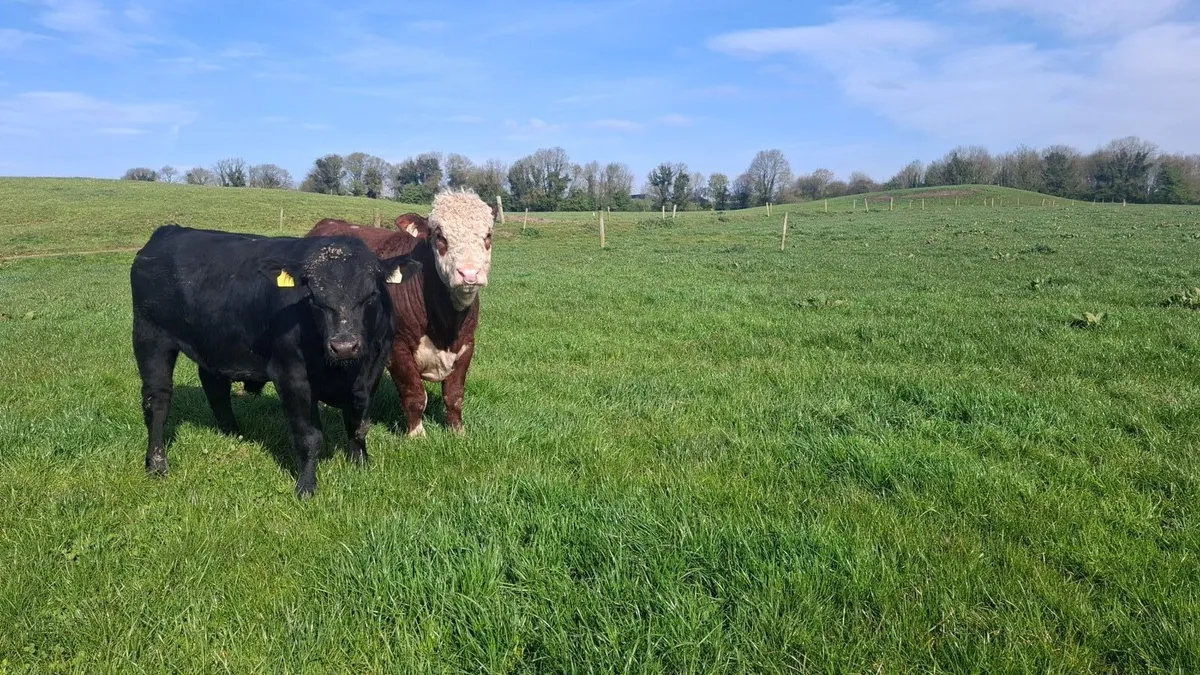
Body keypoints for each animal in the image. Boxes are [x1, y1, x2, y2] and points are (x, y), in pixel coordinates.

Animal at [129, 224, 421, 498]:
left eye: (371, 294)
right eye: (314, 297)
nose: (344, 346)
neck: (345, 371)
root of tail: (169, 232)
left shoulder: (372, 374)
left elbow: (359, 426)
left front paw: (361, 465)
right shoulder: (292, 377)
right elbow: (309, 437)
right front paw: (306, 486)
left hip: (213, 342)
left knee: (215, 387)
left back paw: (233, 432)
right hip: (150, 337)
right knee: (157, 400)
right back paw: (156, 464)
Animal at [307, 189, 495, 437]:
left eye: (488, 235)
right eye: (440, 236)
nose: (469, 274)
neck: (445, 326)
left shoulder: (466, 345)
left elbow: (454, 395)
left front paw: (458, 432)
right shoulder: (397, 347)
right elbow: (415, 395)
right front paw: (417, 435)